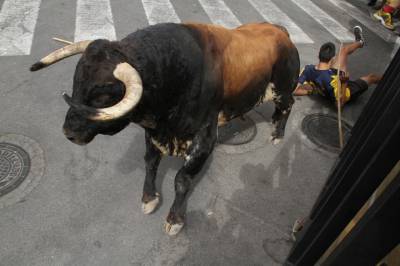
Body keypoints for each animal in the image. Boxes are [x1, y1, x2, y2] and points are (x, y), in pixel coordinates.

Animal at [30, 22, 300, 235]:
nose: (68, 132)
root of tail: (280, 31)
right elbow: (150, 163)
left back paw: (277, 134)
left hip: (283, 88)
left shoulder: (204, 139)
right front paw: (149, 198)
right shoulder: (155, 134)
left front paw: (175, 219)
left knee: (288, 106)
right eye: (76, 83)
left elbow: (181, 180)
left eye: (102, 96)